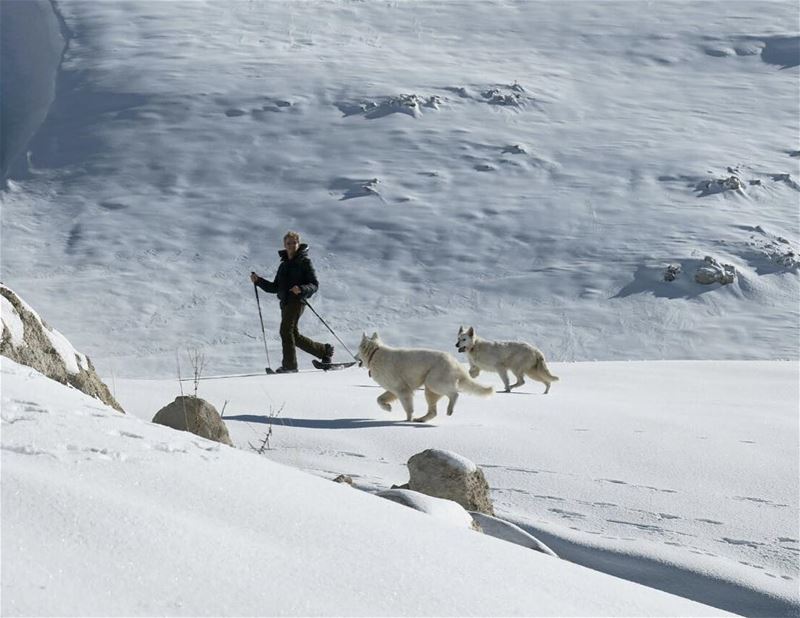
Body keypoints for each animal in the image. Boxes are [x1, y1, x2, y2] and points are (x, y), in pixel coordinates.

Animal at [358, 330, 494, 422]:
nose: (355, 357)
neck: (375, 353)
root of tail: (456, 363)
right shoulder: (393, 389)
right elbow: (379, 399)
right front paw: (387, 408)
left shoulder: (402, 389)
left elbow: (408, 407)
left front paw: (408, 419)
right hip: (431, 390)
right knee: (433, 411)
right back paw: (421, 419)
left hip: (434, 382)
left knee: (454, 394)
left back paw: (449, 409)